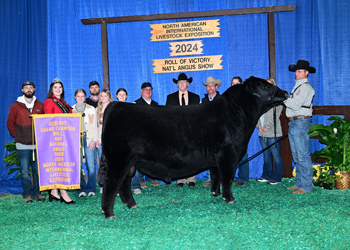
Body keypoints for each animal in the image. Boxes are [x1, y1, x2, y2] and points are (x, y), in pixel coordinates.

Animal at [99, 76, 288, 219]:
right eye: (265, 85)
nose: (285, 92)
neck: (238, 114)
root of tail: (116, 105)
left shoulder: (216, 159)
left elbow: (216, 176)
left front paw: (215, 194)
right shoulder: (228, 156)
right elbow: (227, 179)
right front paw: (229, 199)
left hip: (129, 163)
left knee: (124, 183)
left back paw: (132, 205)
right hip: (118, 160)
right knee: (111, 183)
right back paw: (109, 214)